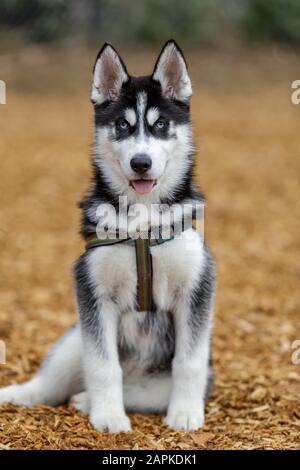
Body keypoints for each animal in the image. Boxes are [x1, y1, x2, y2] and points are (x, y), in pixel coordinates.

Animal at [0, 40, 216, 434]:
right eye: (122, 125)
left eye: (160, 124)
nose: (141, 163)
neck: (143, 222)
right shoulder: (92, 293)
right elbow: (103, 366)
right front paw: (109, 416)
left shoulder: (197, 289)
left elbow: (189, 363)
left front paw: (185, 414)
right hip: (74, 338)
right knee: (53, 383)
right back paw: (26, 395)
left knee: (144, 392)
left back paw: (85, 399)